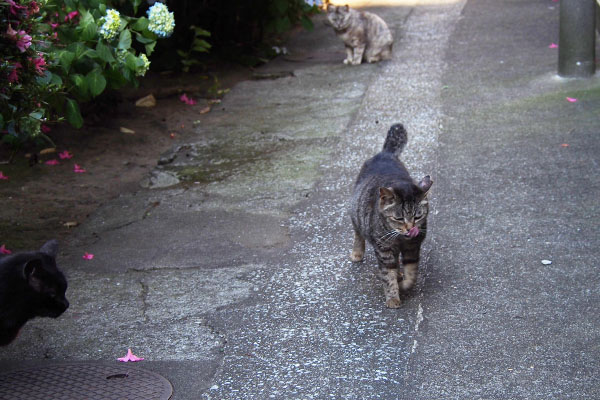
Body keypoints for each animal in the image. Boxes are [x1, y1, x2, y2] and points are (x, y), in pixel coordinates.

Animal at [350, 123, 434, 308]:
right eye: (399, 218)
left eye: (417, 217)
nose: (410, 229)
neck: (400, 239)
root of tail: (385, 154)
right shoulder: (384, 249)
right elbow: (388, 275)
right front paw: (393, 297)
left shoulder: (413, 247)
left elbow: (411, 273)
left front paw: (403, 284)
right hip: (356, 214)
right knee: (358, 233)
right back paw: (357, 253)